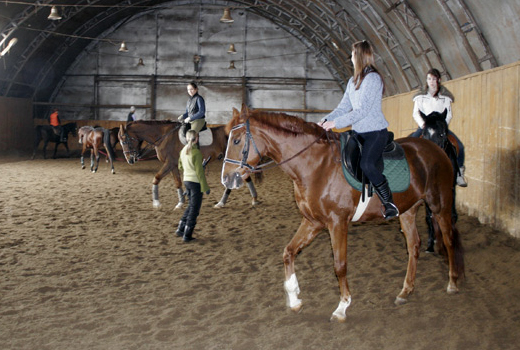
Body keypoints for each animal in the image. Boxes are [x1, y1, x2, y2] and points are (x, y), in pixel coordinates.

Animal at [116, 119, 258, 208]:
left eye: (124, 140)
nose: (130, 160)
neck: (164, 136)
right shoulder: (172, 165)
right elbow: (177, 182)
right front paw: (180, 202)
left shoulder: (169, 163)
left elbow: (156, 178)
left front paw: (156, 203)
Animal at [418, 110, 460, 253]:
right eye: (425, 134)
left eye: (442, 134)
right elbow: (429, 217)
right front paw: (430, 245)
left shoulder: (449, 188)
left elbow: (450, 214)